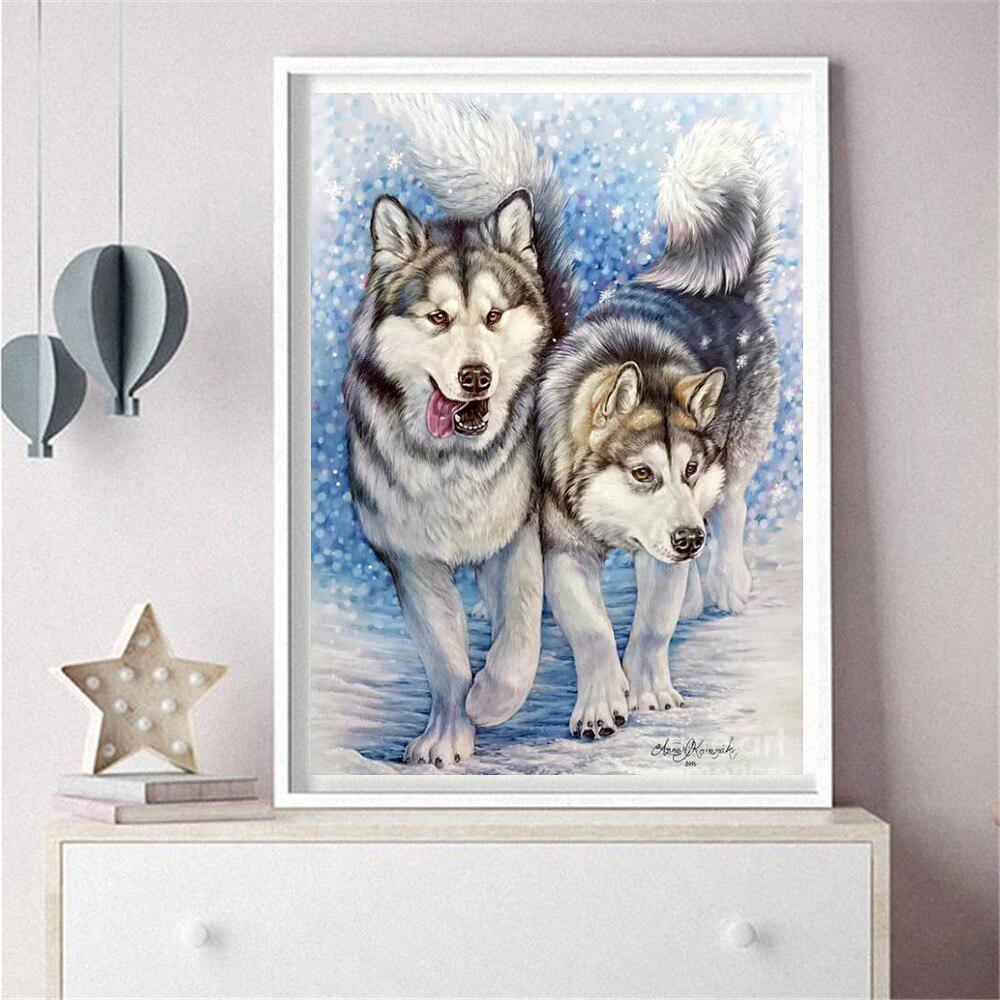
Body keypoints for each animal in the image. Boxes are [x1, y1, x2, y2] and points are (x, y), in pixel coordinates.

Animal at [343, 95, 575, 765]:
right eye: (438, 318)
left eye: (494, 316)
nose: (475, 376)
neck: (454, 465)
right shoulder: (410, 559)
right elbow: (444, 657)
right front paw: (448, 732)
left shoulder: (516, 537)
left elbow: (520, 635)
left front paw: (490, 701)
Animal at [538, 119, 782, 739]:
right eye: (642, 473)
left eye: (689, 468)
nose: (688, 540)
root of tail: (733, 286)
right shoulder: (563, 549)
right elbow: (592, 628)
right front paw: (602, 703)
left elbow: (652, 627)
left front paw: (649, 691)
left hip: (736, 459)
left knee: (732, 508)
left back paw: (726, 582)